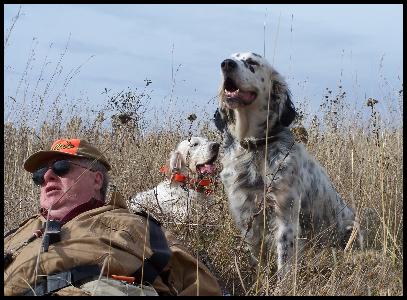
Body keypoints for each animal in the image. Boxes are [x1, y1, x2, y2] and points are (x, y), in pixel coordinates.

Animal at [214, 51, 364, 278]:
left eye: (252, 62)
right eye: (230, 58)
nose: (226, 64)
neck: (255, 148)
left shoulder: (285, 217)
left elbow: (284, 265)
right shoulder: (246, 215)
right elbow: (257, 256)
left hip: (351, 228)